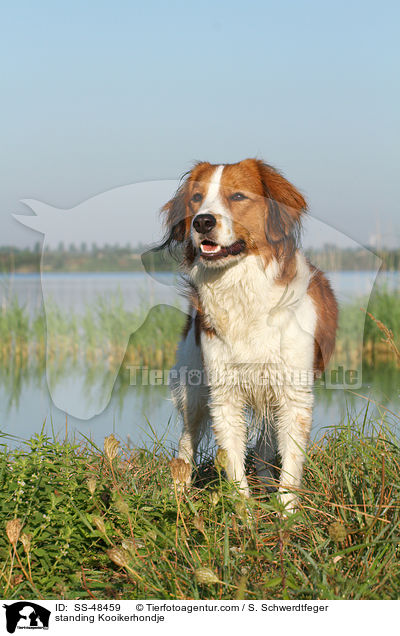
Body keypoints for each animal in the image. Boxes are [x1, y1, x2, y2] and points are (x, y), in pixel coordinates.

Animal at [160, 159, 338, 512]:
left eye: (238, 196)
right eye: (197, 198)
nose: (202, 222)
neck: (243, 289)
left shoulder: (293, 394)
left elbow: (290, 461)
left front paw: (286, 513)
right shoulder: (223, 394)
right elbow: (233, 461)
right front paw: (242, 512)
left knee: (266, 446)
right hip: (194, 389)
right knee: (187, 442)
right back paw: (178, 493)